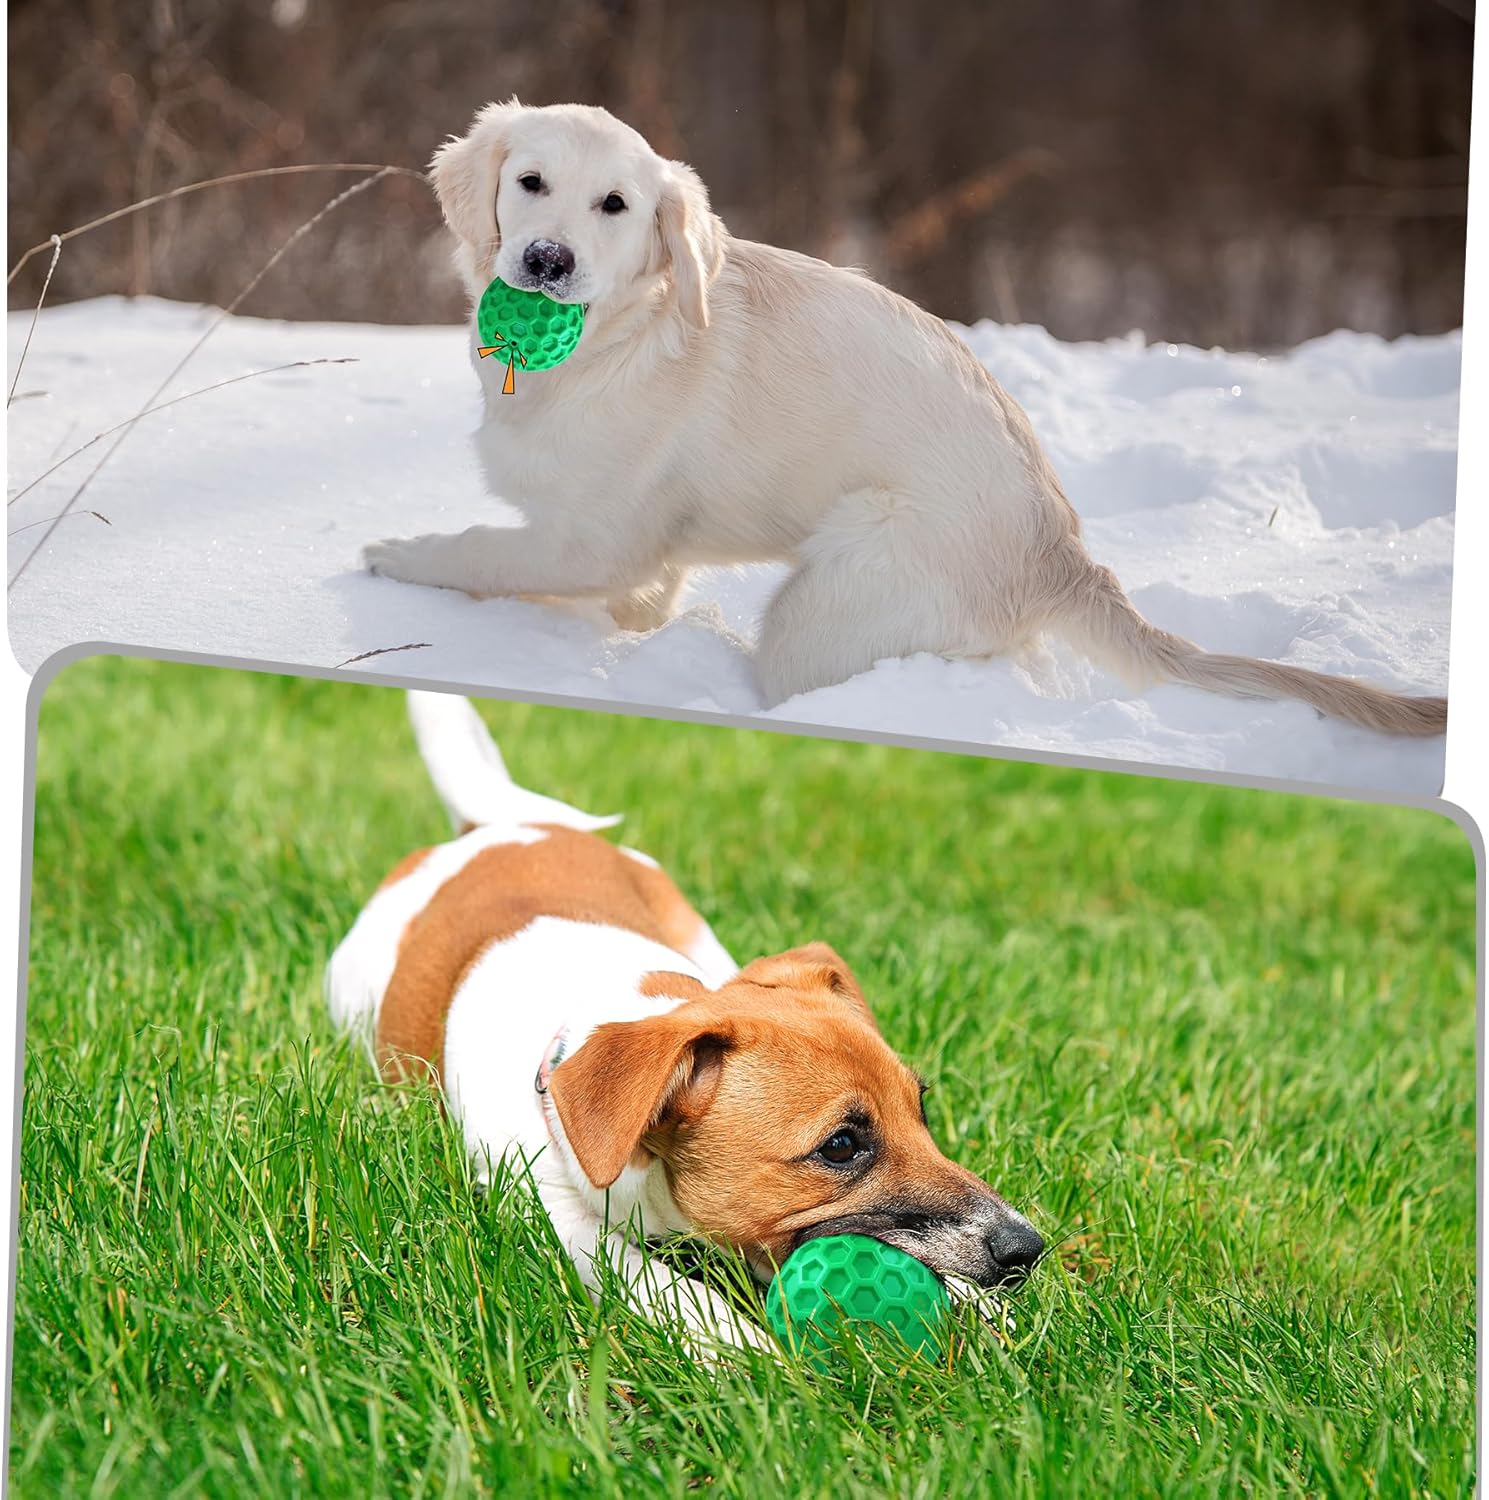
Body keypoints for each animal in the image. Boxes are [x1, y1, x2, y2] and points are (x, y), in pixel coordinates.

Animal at [328, 690, 1043, 1350]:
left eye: (922, 1111)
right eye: (840, 1146)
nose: (1027, 1250)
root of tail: (498, 826)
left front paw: (977, 1308)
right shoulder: (565, 1225)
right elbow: (670, 1291)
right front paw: (753, 1356)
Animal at [365, 96, 1445, 735]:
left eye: (616, 206)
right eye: (530, 183)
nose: (545, 261)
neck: (612, 339)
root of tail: (1063, 555)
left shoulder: (592, 536)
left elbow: (485, 551)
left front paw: (395, 556)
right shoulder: (640, 547)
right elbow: (639, 594)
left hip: (829, 602)